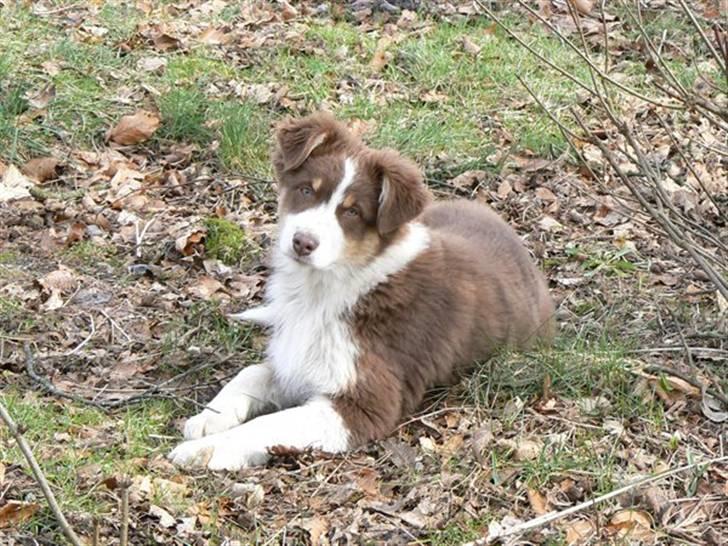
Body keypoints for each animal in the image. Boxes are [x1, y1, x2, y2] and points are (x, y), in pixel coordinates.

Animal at [168, 111, 556, 468]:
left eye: (352, 212)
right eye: (306, 190)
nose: (302, 243)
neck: (326, 289)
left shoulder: (364, 403)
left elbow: (269, 424)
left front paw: (205, 451)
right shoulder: (298, 359)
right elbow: (251, 372)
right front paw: (210, 419)